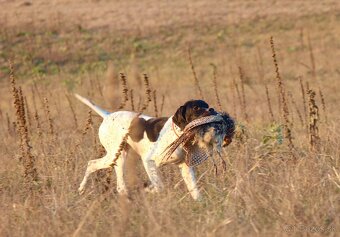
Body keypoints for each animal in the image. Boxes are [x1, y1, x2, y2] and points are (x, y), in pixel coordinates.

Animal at [75, 94, 227, 200]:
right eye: (196, 108)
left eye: (207, 104)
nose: (212, 109)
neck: (178, 134)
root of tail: (107, 116)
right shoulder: (149, 161)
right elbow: (159, 186)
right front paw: (148, 190)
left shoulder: (186, 168)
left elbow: (195, 191)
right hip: (116, 156)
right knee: (95, 167)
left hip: (118, 156)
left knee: (101, 171)